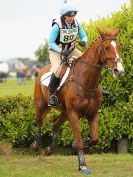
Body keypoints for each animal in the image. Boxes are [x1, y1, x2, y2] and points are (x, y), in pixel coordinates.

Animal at [31, 28, 123, 174]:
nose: (119, 70)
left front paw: (78, 146)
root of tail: (41, 71)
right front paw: (83, 166)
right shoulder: (73, 113)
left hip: (64, 112)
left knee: (55, 125)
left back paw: (50, 149)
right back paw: (36, 145)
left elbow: (95, 139)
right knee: (38, 122)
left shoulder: (93, 113)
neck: (86, 81)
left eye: (119, 47)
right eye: (106, 48)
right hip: (42, 105)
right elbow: (79, 141)